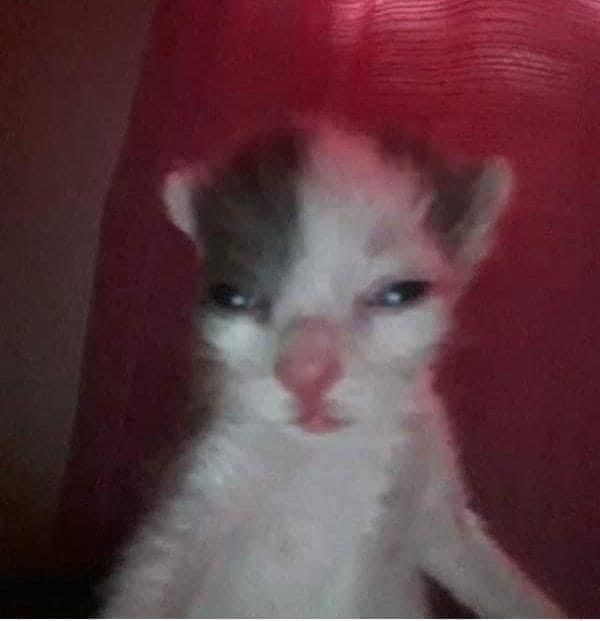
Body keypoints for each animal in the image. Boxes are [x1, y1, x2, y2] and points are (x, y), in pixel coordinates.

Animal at [101, 120, 564, 616]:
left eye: (400, 294)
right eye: (231, 297)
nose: (306, 372)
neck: (329, 454)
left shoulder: (430, 497)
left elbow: (485, 570)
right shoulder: (201, 490)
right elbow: (150, 582)